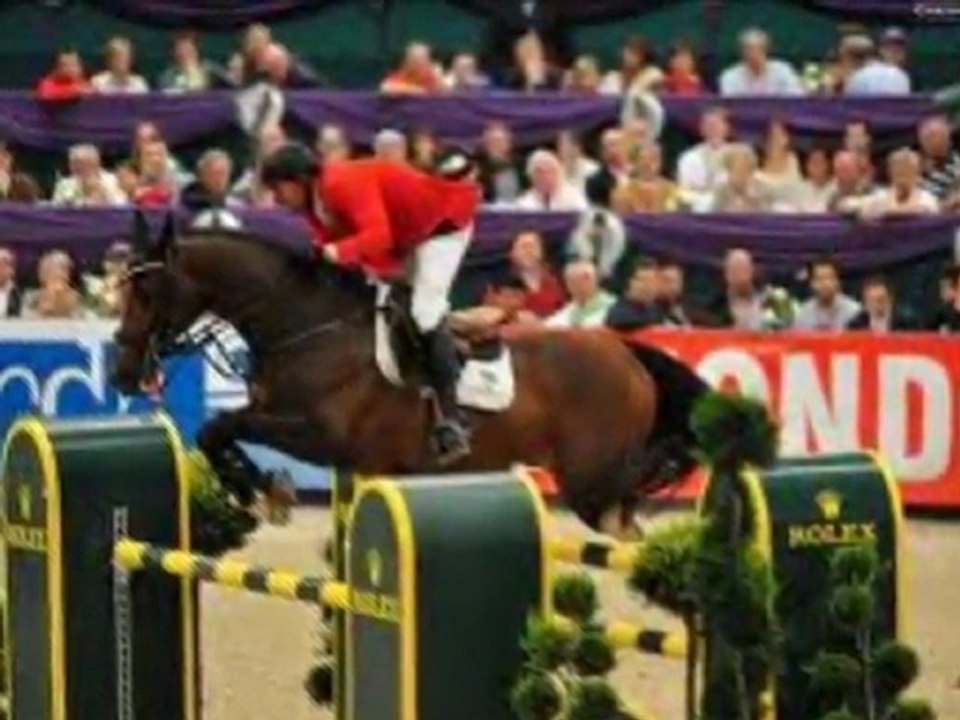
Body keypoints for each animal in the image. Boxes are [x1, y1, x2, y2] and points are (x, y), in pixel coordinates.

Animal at [111, 213, 711, 536]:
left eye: (147, 291)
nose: (120, 373)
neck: (307, 325)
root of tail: (623, 351)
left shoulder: (318, 434)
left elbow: (221, 426)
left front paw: (261, 490)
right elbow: (218, 430)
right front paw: (262, 488)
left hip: (589, 478)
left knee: (626, 507)